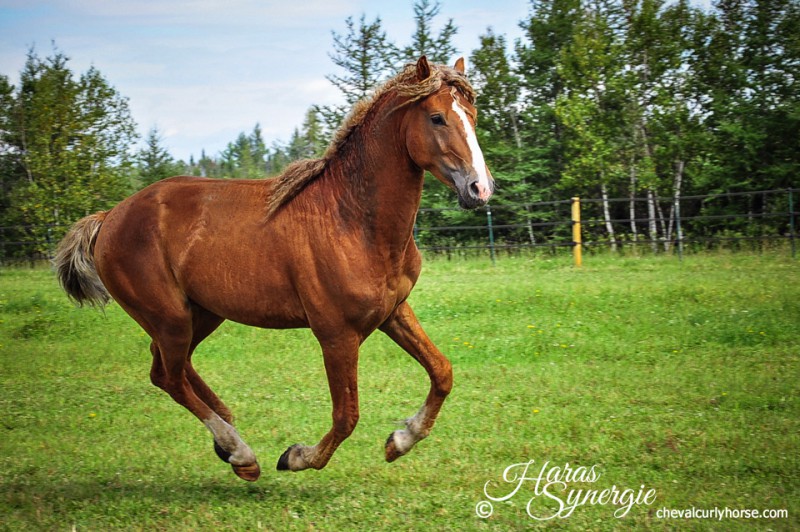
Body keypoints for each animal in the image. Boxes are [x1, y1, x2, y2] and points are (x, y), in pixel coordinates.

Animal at [54, 56, 494, 480]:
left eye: (472, 114)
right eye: (436, 117)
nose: (480, 188)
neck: (351, 219)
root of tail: (109, 217)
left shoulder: (393, 313)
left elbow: (442, 372)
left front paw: (400, 440)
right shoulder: (336, 334)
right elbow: (347, 415)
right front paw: (297, 457)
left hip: (201, 314)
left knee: (167, 368)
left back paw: (228, 440)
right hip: (170, 318)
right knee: (170, 377)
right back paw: (240, 451)